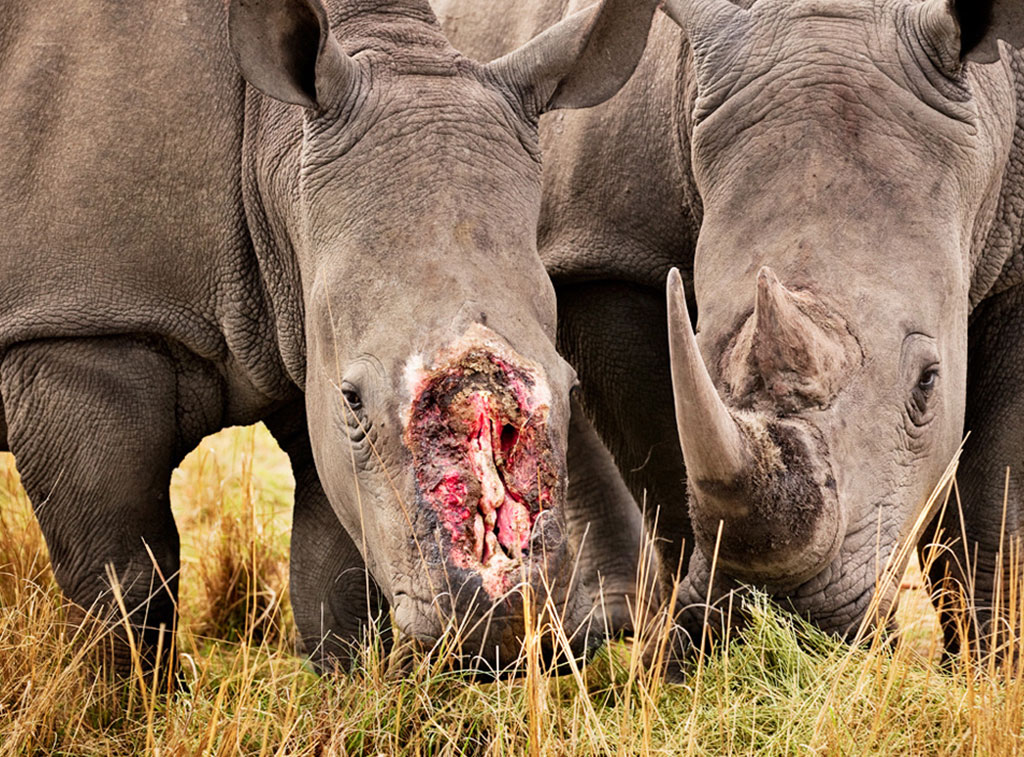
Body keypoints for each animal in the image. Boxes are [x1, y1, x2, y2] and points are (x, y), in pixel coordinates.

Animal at [0, 0, 661, 674]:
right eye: (353, 399)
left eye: (572, 387)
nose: (503, 625)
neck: (273, 154)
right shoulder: (81, 326)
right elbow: (122, 575)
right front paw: (126, 694)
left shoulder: (304, 336)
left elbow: (333, 579)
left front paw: (346, 682)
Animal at [436, 0, 1024, 664]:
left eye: (928, 383)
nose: (793, 611)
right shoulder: (608, 249)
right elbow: (665, 458)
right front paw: (700, 657)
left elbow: (998, 491)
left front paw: (990, 667)